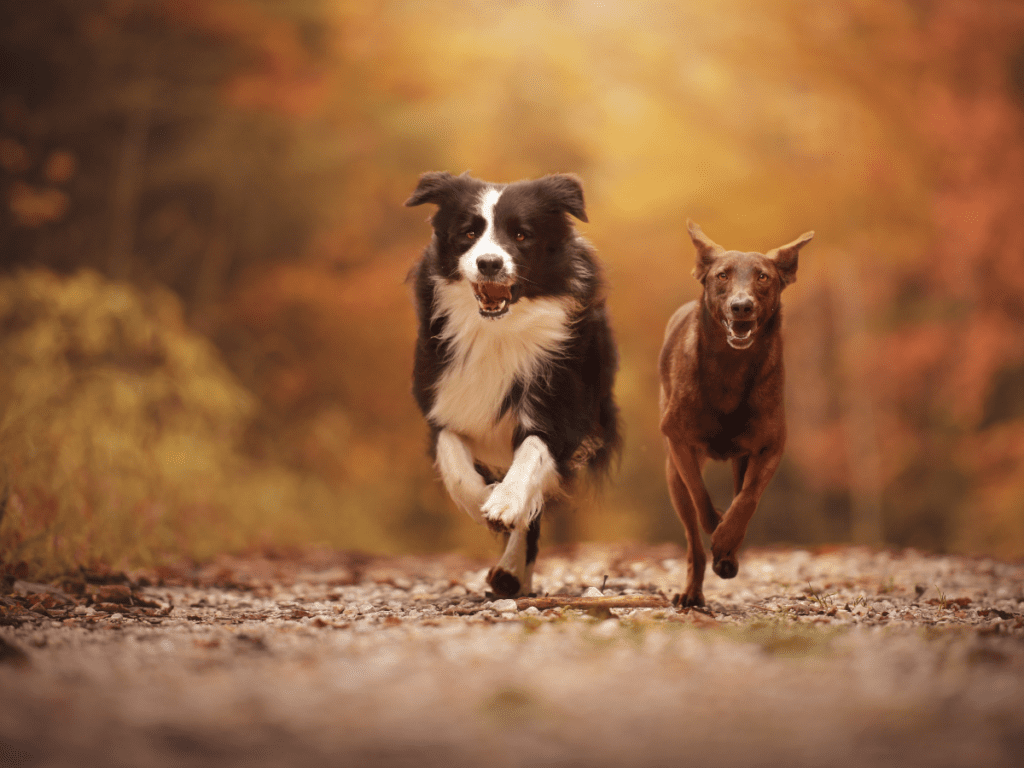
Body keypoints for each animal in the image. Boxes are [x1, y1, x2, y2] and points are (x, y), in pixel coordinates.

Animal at [405, 171, 614, 598]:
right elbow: (452, 456)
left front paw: (504, 503)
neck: (497, 332)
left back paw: (511, 571)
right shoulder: (443, 400)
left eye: (521, 235)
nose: (489, 262)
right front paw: (483, 499)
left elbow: (532, 454)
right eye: (468, 232)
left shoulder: (561, 413)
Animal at [659, 221, 811, 606]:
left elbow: (748, 499)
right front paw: (716, 528)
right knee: (692, 540)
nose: (741, 306)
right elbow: (700, 496)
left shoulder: (770, 446)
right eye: (722, 275)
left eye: (763, 277)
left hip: (741, 457)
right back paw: (692, 592)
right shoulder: (679, 440)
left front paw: (727, 542)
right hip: (673, 474)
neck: (731, 365)